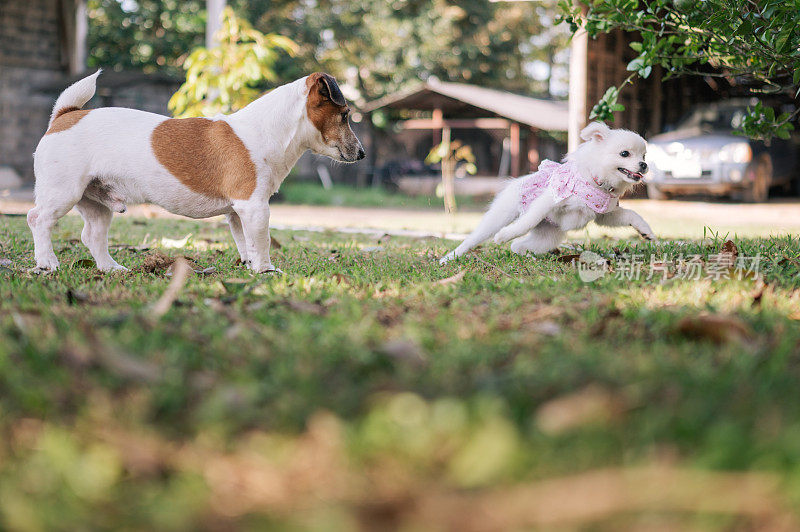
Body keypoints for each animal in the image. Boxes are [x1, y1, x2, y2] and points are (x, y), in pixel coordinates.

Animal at [25, 69, 362, 274]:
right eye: (346, 115)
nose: (362, 153)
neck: (269, 129)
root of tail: (65, 116)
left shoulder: (238, 213)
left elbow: (246, 242)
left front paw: (249, 265)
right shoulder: (254, 207)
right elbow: (262, 241)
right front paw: (266, 270)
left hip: (95, 203)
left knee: (92, 235)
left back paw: (111, 268)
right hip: (63, 193)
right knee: (38, 220)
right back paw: (47, 262)